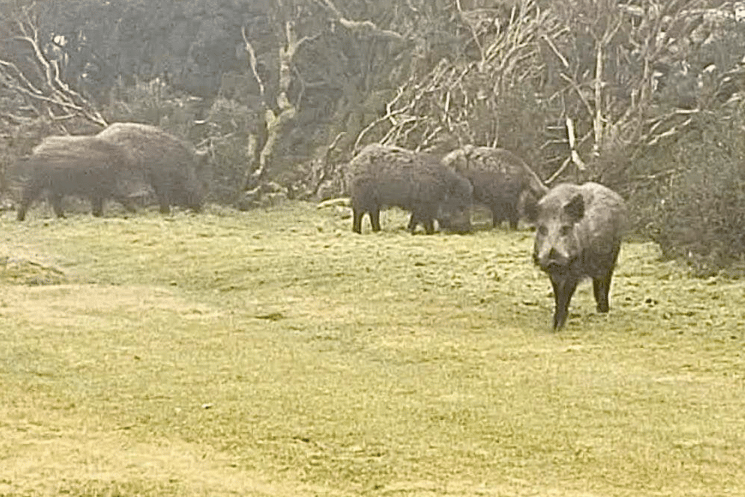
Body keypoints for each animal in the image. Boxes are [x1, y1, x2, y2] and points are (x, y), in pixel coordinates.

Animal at [525, 182, 627, 330]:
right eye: (542, 229)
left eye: (565, 228)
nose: (553, 260)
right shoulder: (554, 274)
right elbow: (557, 294)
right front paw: (555, 326)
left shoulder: (575, 269)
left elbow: (567, 293)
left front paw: (558, 327)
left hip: (614, 253)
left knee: (606, 280)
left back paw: (603, 310)